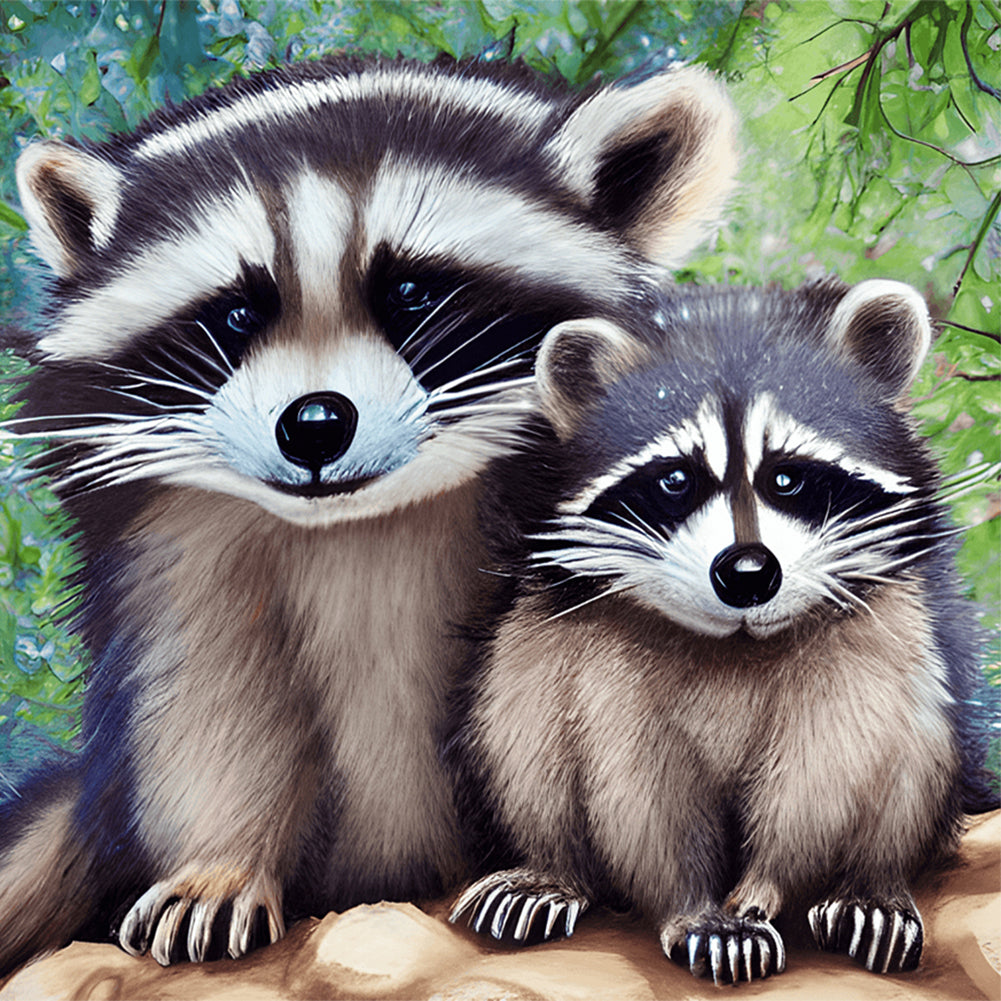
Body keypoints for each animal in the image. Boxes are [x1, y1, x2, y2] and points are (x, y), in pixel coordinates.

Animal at [0, 55, 739, 975]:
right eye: (236, 313)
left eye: (411, 291)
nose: (315, 422)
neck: (358, 523)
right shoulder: (174, 542)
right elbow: (203, 694)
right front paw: (218, 859)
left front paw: (550, 861)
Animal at [446, 279, 999, 984]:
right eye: (675, 479)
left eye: (786, 476)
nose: (747, 573)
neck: (735, 643)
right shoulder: (605, 650)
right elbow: (635, 782)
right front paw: (694, 908)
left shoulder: (881, 619)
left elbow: (833, 762)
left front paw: (766, 889)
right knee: (522, 706)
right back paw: (551, 867)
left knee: (915, 731)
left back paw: (870, 886)